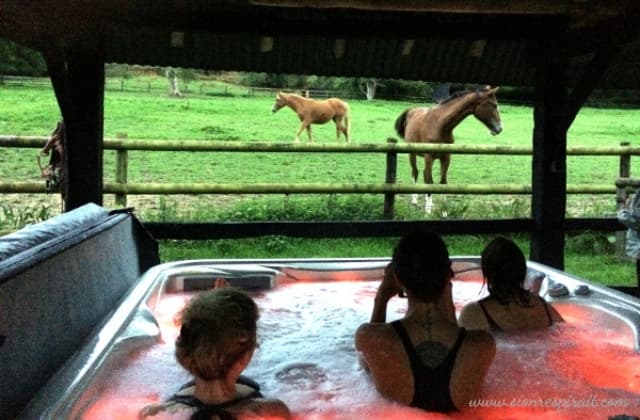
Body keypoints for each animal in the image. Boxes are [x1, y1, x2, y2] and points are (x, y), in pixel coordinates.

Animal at [392, 84, 502, 213]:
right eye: (494, 105)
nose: (499, 128)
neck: (440, 125)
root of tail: (411, 110)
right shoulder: (429, 157)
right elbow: (430, 181)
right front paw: (428, 211)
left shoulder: (446, 157)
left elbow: (443, 182)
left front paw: (444, 211)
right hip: (412, 153)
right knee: (416, 172)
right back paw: (415, 202)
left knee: (424, 174)